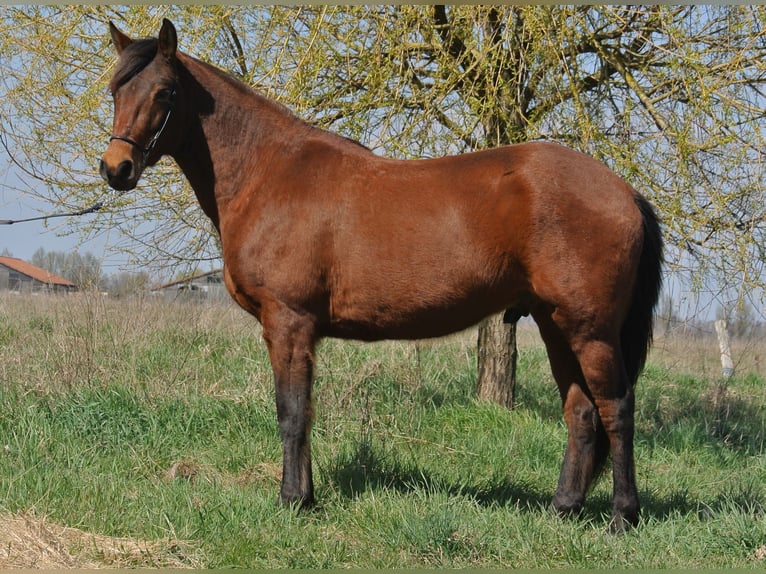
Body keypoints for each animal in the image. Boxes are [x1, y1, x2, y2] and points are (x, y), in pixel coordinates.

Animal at [99, 19, 663, 531]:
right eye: (115, 89)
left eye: (165, 91)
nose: (115, 168)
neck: (268, 172)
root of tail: (624, 191)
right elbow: (305, 411)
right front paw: (306, 497)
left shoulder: (288, 322)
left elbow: (291, 412)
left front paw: (292, 501)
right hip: (555, 325)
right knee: (582, 413)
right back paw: (563, 510)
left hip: (591, 331)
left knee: (616, 409)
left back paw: (622, 516)